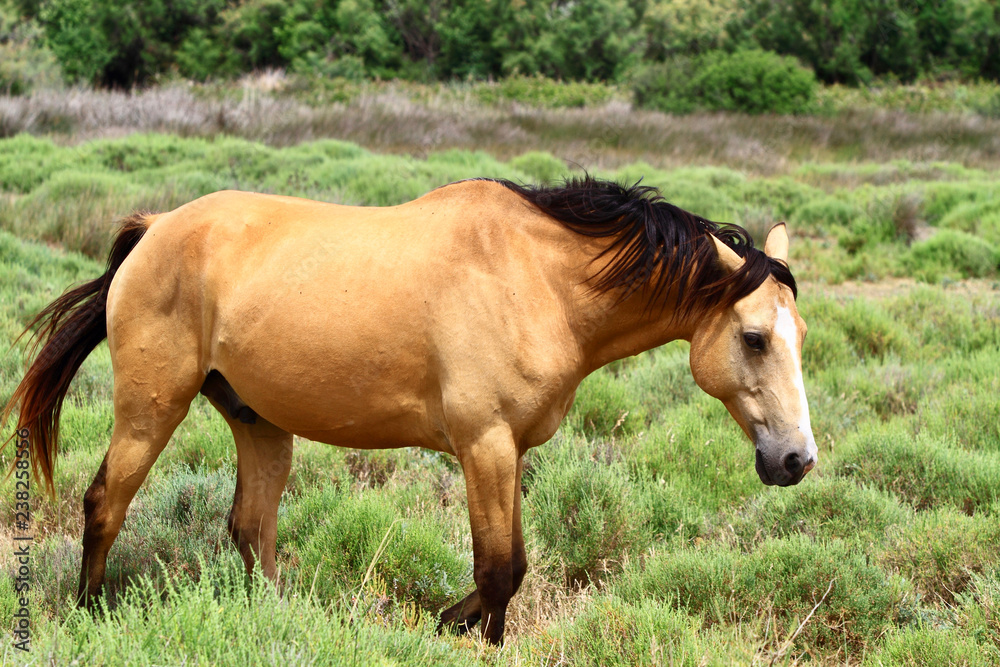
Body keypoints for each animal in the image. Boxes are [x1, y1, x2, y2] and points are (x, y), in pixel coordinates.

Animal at [3, 176, 816, 645]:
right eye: (753, 337)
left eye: (801, 334)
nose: (796, 459)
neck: (539, 279)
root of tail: (154, 229)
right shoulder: (484, 444)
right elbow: (500, 571)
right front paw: (456, 629)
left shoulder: (511, 451)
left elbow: (509, 569)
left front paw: (446, 621)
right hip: (152, 406)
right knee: (105, 502)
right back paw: (89, 614)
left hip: (259, 422)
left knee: (251, 530)